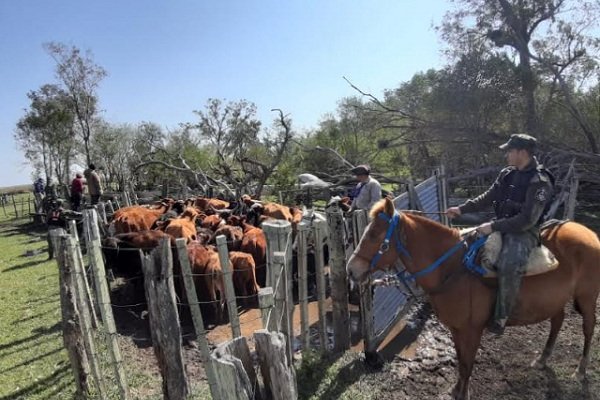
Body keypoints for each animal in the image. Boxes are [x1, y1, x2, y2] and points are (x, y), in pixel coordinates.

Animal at [346, 198, 600, 400]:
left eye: (374, 235)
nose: (351, 269)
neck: (452, 267)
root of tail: (589, 233)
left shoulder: (472, 330)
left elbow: (467, 363)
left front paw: (463, 393)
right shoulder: (457, 329)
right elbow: (460, 360)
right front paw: (456, 390)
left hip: (587, 297)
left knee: (588, 328)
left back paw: (580, 370)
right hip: (557, 299)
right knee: (557, 321)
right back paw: (542, 359)